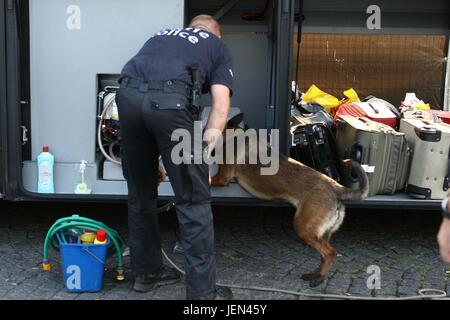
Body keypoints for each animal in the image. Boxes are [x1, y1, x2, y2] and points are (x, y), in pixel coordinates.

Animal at [209, 114, 368, 286]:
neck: (232, 134)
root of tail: (337, 188)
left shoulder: (221, 178)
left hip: (303, 228)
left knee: (330, 253)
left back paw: (318, 278)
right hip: (322, 233)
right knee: (324, 255)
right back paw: (315, 275)